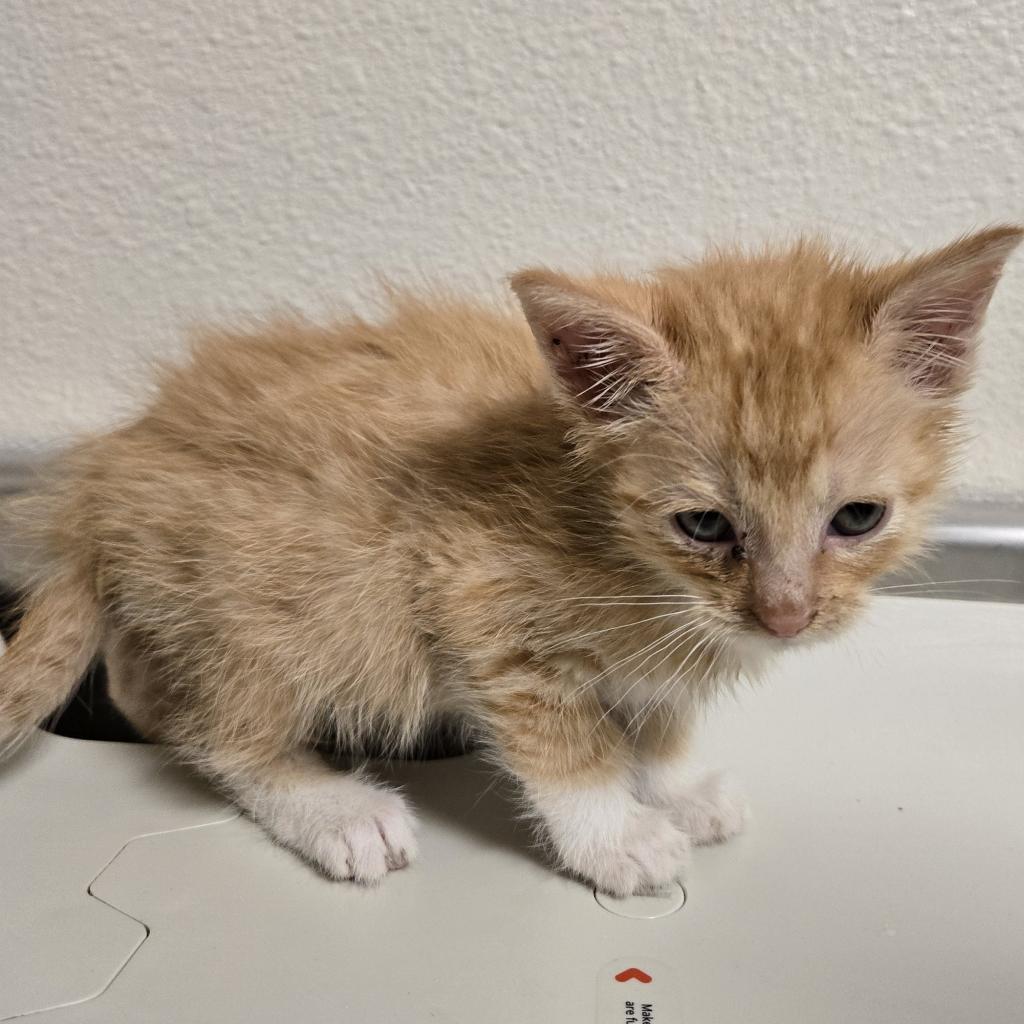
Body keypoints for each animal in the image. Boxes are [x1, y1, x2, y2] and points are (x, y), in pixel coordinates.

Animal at [0, 226, 1019, 897]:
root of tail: (102, 477)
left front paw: (676, 784)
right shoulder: (471, 589)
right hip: (305, 589)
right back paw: (331, 807)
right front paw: (615, 833)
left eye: (857, 517)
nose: (786, 617)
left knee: (142, 685)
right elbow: (564, 740)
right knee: (209, 722)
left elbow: (655, 712)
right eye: (703, 525)